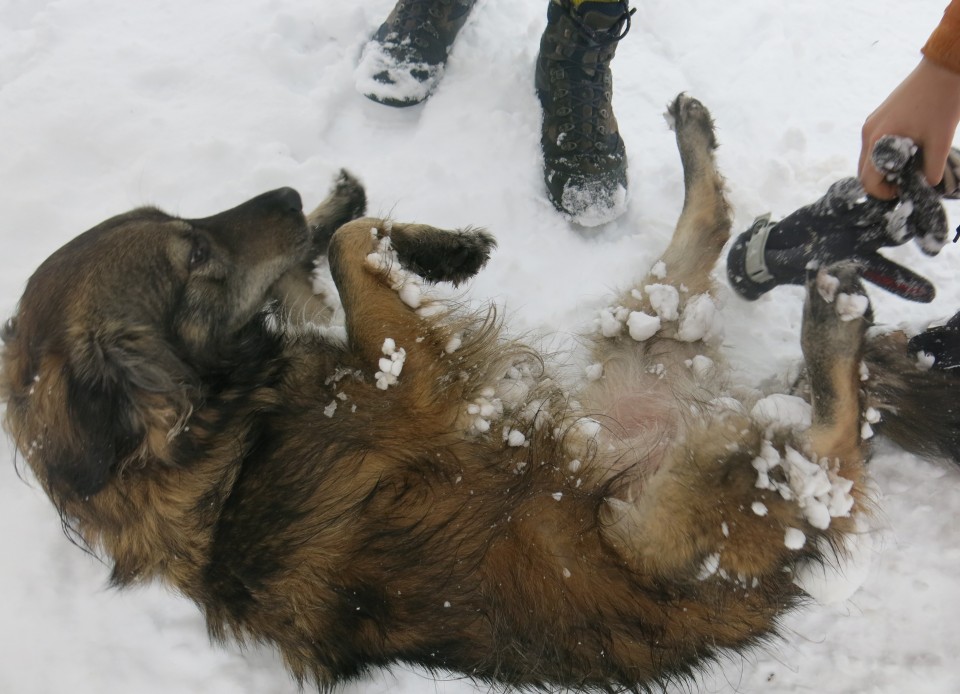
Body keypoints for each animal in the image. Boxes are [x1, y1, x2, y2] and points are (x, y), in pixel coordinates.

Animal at [3, 95, 956, 692]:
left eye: (183, 223)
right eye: (193, 256)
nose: (281, 190)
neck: (219, 447)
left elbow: (334, 248)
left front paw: (407, 232)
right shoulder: (413, 376)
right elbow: (348, 248)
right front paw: (423, 242)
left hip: (644, 334)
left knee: (710, 233)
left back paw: (698, 142)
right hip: (673, 521)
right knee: (831, 445)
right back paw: (833, 322)